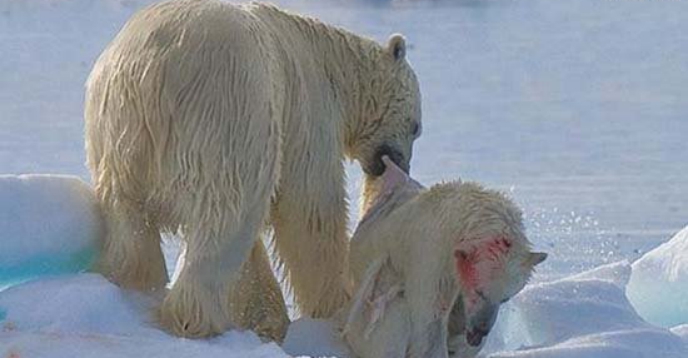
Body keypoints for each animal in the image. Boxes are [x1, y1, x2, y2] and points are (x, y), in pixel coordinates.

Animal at [83, 0, 422, 342]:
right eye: (416, 127)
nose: (399, 164)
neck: (332, 62)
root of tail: (151, 71)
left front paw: (266, 318)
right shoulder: (308, 109)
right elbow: (310, 209)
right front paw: (335, 305)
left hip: (115, 132)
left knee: (128, 218)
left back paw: (131, 284)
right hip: (226, 113)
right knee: (225, 217)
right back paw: (198, 317)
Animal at [344, 159, 548, 358]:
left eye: (506, 298)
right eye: (479, 291)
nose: (480, 331)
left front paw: (460, 344)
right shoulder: (430, 256)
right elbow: (430, 323)